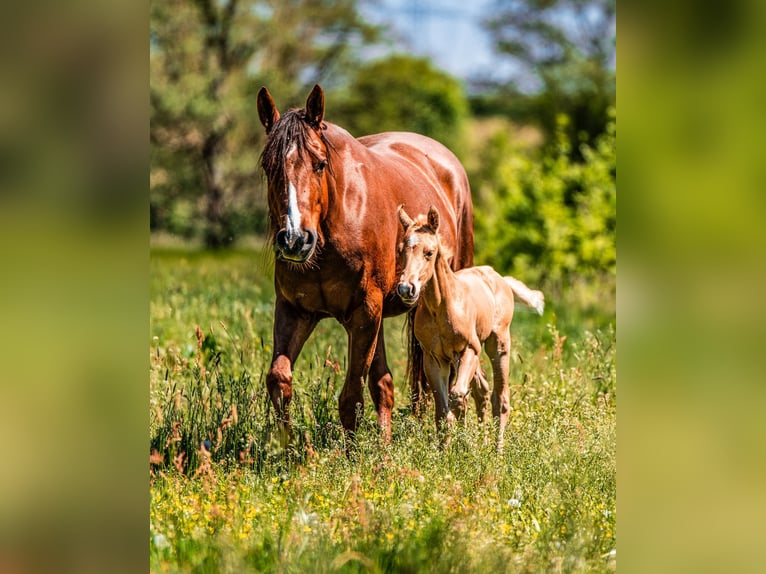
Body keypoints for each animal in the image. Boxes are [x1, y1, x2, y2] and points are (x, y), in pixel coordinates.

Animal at [256, 84, 474, 443]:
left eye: (319, 164)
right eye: (269, 167)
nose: (295, 240)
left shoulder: (365, 313)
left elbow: (351, 397)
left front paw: (353, 455)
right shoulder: (294, 310)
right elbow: (279, 379)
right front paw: (291, 450)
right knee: (386, 384)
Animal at [396, 205, 544, 449]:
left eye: (429, 252)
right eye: (401, 250)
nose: (406, 289)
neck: (441, 307)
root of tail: (498, 277)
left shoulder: (469, 349)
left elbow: (457, 397)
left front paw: (463, 445)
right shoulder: (433, 358)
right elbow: (443, 411)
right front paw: (446, 451)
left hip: (498, 344)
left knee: (499, 397)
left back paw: (497, 450)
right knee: (481, 390)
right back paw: (482, 443)